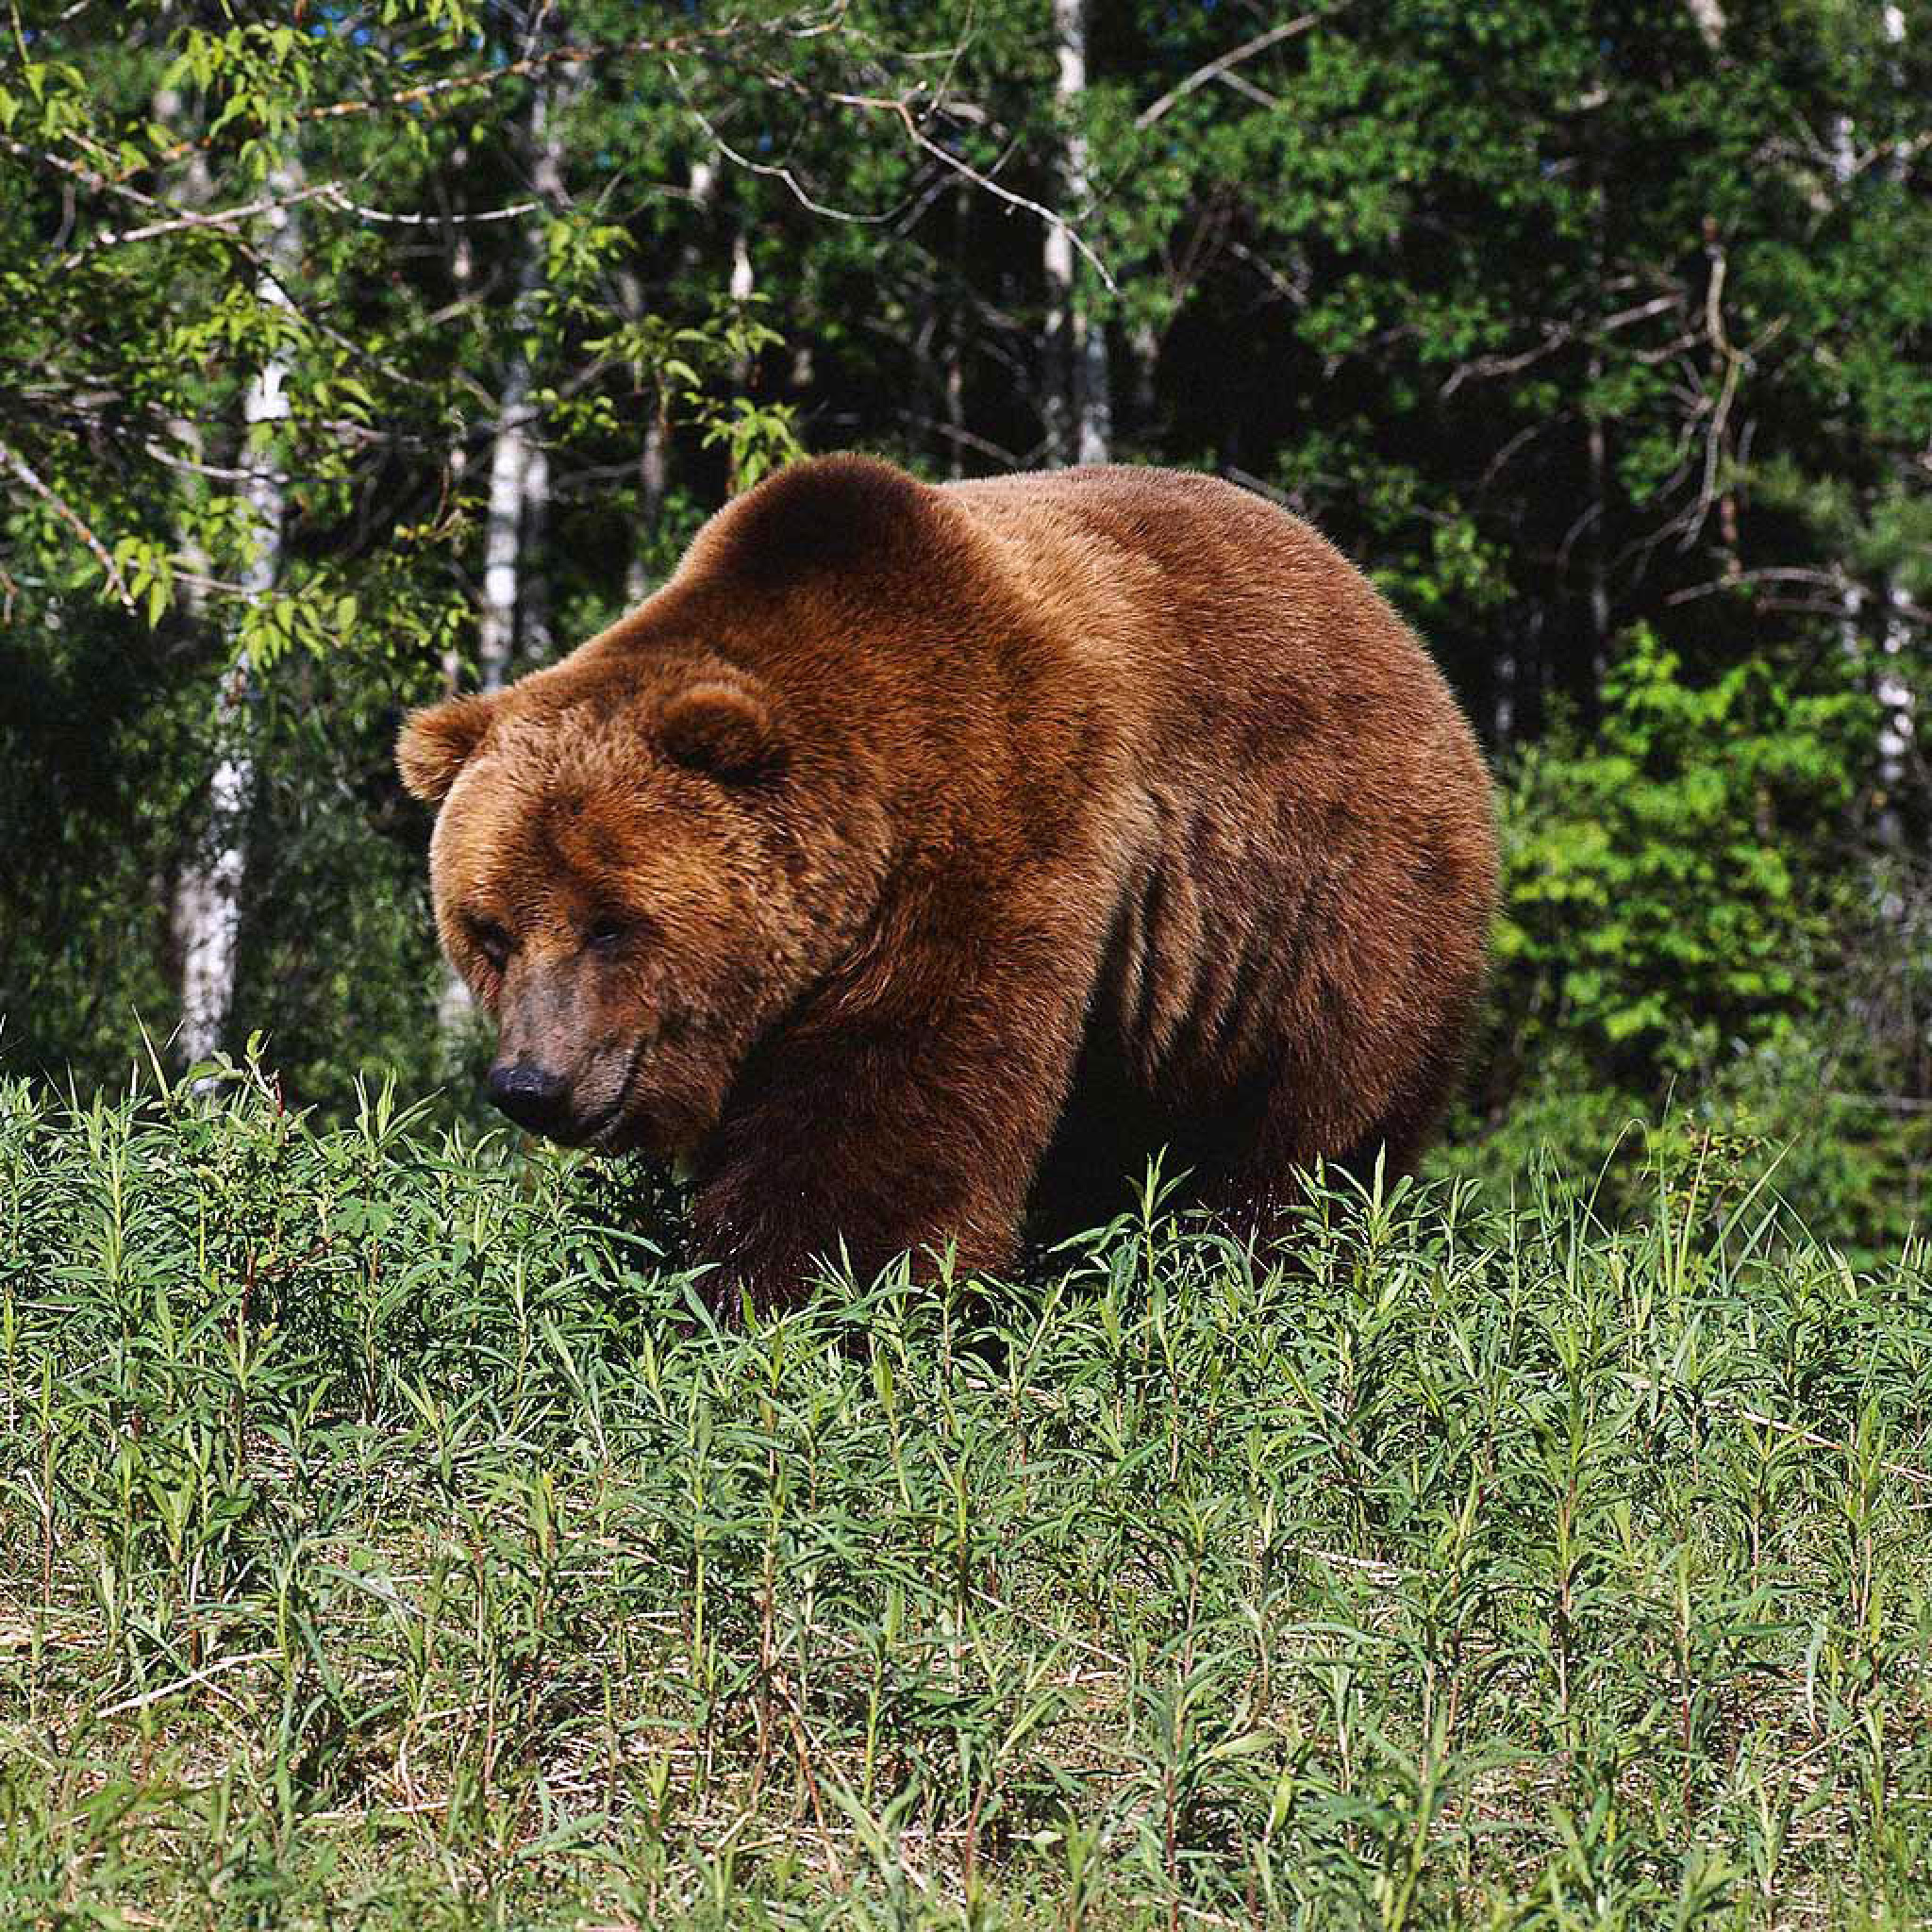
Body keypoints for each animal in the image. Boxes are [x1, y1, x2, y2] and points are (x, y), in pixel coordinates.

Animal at [399, 452, 1499, 1306]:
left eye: (611, 923)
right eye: (488, 931)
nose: (530, 1084)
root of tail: (1390, 622)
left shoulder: (993, 829)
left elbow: (890, 1114)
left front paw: (793, 1297)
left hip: (1329, 903)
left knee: (1313, 1120)